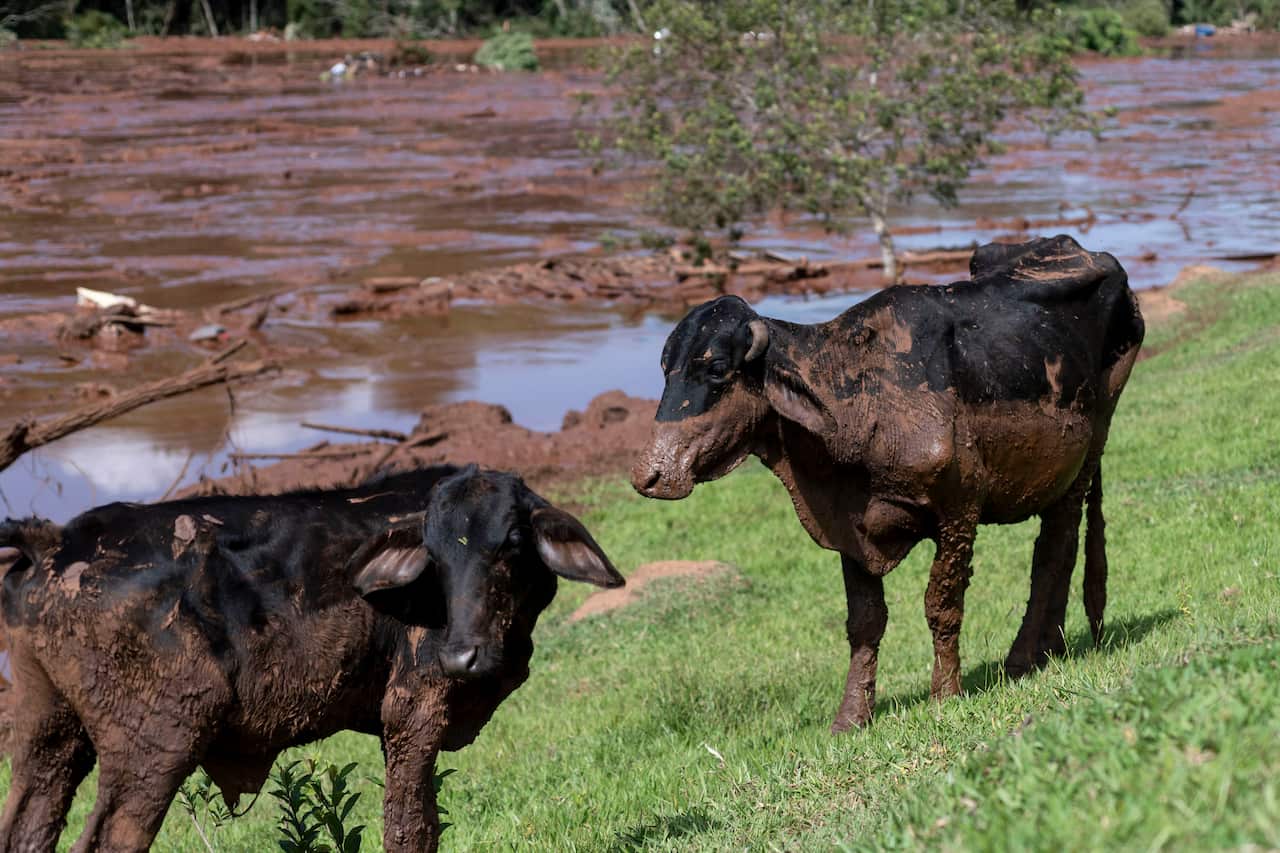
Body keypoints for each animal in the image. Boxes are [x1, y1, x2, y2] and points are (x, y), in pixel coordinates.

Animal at [0, 464, 623, 852]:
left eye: (512, 542)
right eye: (435, 553)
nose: (461, 656)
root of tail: (55, 540)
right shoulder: (414, 710)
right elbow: (411, 829)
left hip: (47, 732)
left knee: (26, 827)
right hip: (155, 744)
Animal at [631, 235, 1144, 732]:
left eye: (718, 369)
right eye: (665, 370)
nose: (648, 475)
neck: (861, 401)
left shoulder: (959, 511)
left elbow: (942, 604)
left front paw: (945, 694)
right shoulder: (849, 530)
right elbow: (865, 623)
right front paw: (852, 717)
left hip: (1090, 449)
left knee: (1055, 551)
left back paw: (1023, 658)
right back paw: (1046, 650)